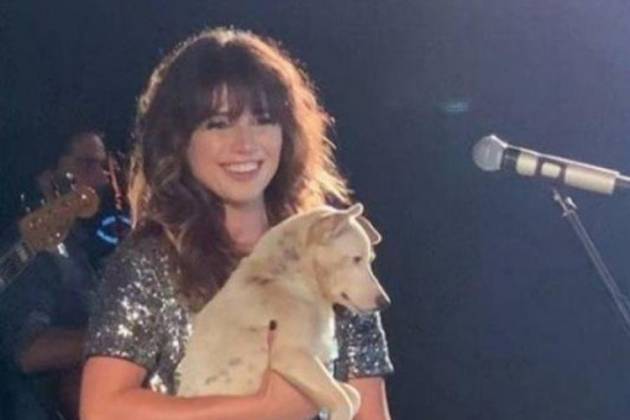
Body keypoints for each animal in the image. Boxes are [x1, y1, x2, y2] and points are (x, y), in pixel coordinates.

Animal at [175, 203, 390, 420]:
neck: (290, 280)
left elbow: (352, 394)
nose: (385, 303)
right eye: (356, 259)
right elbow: (343, 399)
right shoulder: (292, 355)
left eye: (370, 259)